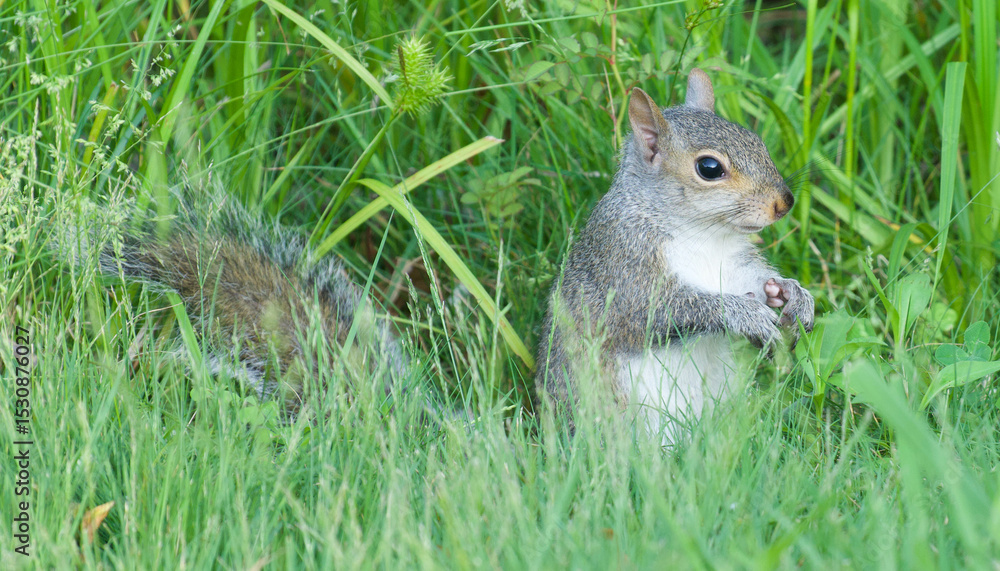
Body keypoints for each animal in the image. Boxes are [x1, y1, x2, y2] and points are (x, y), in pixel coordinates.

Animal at [535, 69, 815, 443]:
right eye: (709, 168)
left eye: (756, 141)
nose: (785, 202)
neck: (702, 233)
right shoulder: (624, 266)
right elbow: (658, 310)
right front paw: (746, 314)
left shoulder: (735, 265)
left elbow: (757, 281)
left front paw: (791, 293)